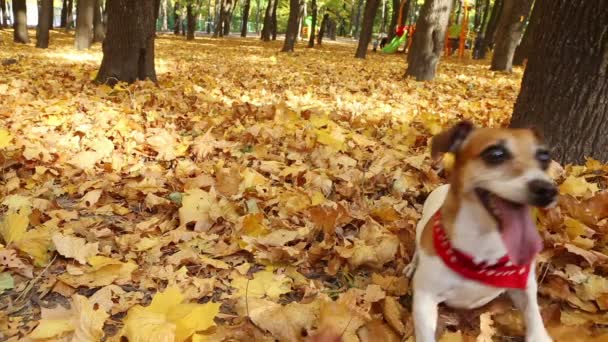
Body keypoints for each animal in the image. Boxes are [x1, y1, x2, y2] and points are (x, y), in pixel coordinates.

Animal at [406, 121, 560, 342]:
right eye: (495, 154)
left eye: (544, 157)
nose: (548, 190)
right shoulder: (425, 298)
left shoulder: (525, 285)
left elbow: (533, 311)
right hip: (420, 230)